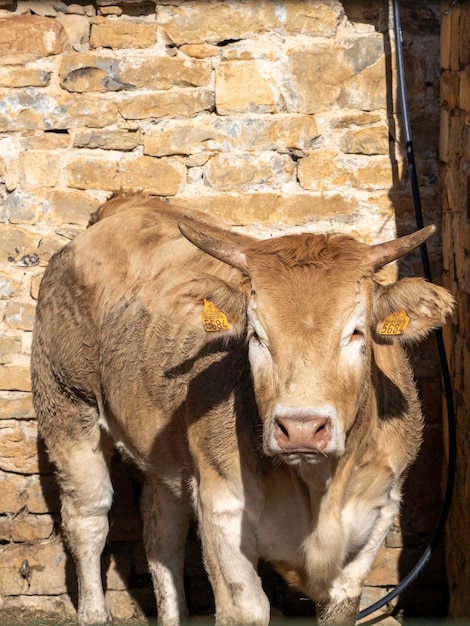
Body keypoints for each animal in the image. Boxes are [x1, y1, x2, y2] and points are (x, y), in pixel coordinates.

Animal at [30, 193, 456, 620]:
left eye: (356, 331)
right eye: (255, 334)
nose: (301, 429)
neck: (319, 488)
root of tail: (121, 208)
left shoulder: (376, 516)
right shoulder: (221, 509)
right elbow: (246, 607)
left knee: (161, 528)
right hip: (67, 407)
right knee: (88, 520)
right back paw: (93, 612)